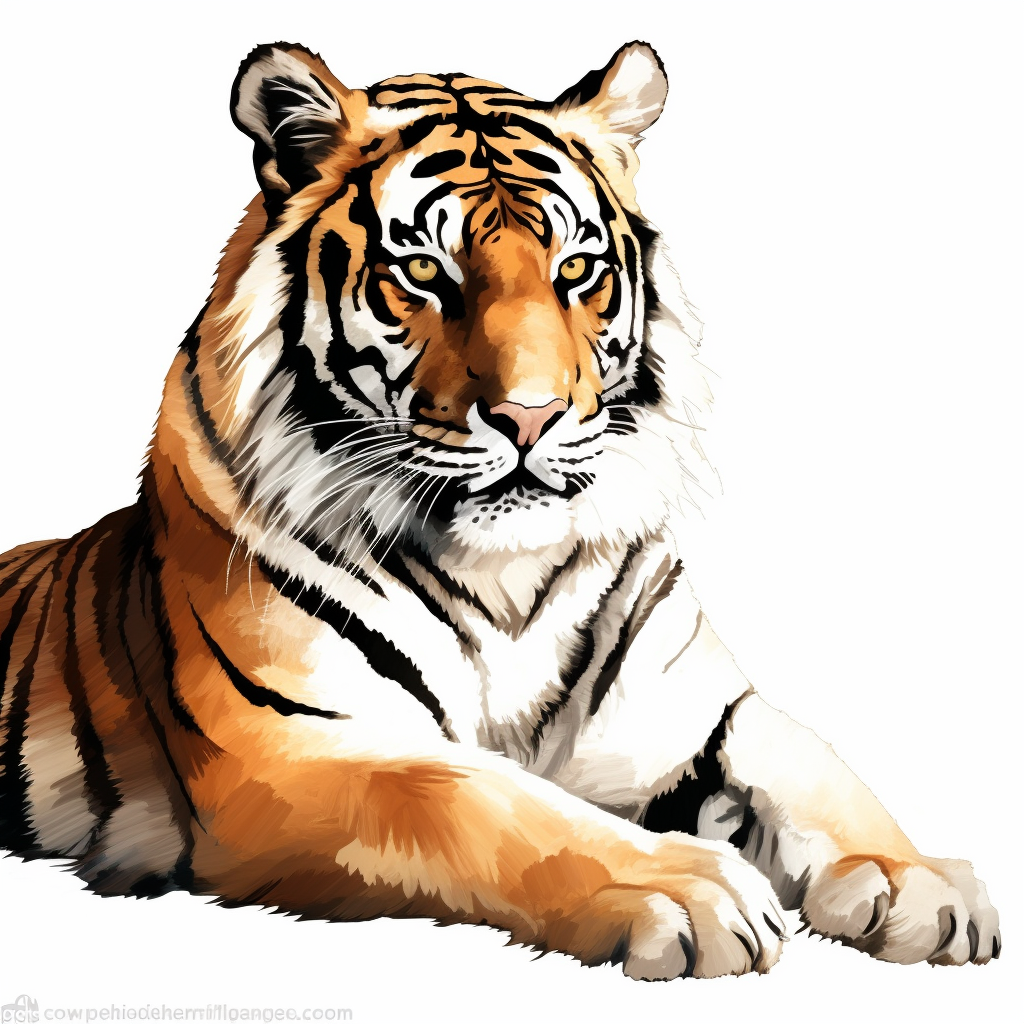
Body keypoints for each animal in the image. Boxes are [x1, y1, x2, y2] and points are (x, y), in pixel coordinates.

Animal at [0, 41, 1000, 980]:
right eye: (422, 271)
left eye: (577, 269)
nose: (530, 415)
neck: (506, 573)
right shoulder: (285, 751)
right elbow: (480, 801)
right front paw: (688, 887)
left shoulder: (694, 713)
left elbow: (806, 755)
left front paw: (919, 882)